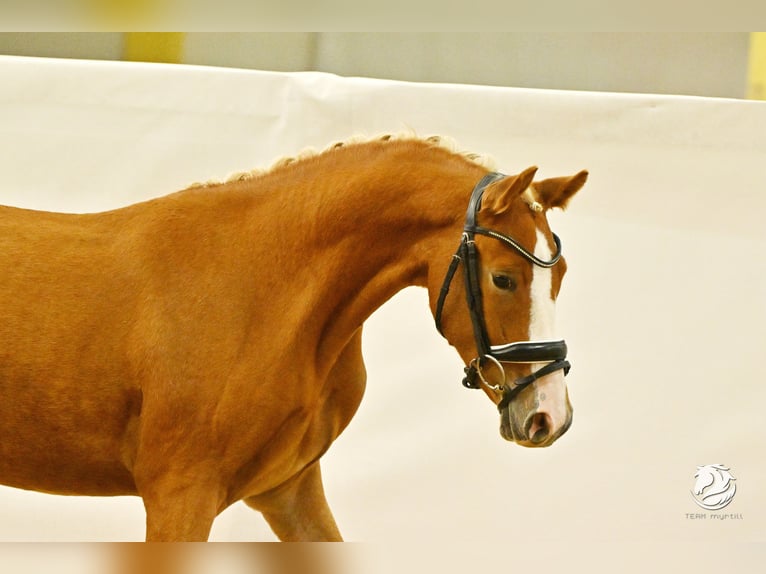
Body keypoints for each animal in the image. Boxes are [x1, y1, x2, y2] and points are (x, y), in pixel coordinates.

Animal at [0, 137, 588, 544]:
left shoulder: (287, 491)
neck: (265, 292)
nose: (549, 416)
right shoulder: (179, 496)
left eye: (559, 276)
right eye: (504, 279)